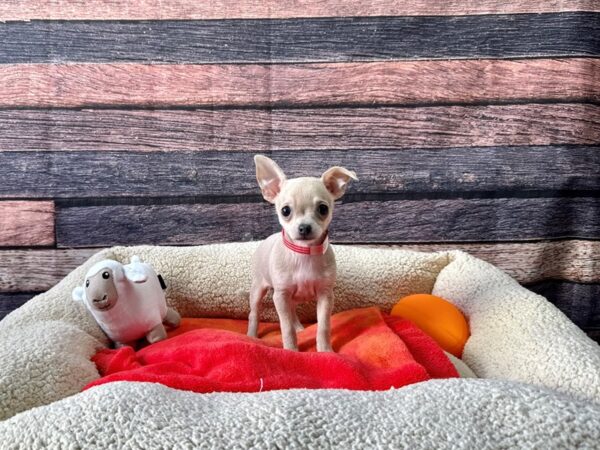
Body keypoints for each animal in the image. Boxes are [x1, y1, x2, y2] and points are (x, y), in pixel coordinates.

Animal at [247, 155, 356, 352]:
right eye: (285, 211)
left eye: (323, 209)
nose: (304, 227)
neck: (304, 252)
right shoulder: (281, 295)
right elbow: (285, 327)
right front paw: (291, 350)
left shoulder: (325, 295)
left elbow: (323, 326)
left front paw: (325, 350)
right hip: (258, 289)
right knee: (254, 313)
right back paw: (252, 335)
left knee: (292, 311)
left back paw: (299, 327)